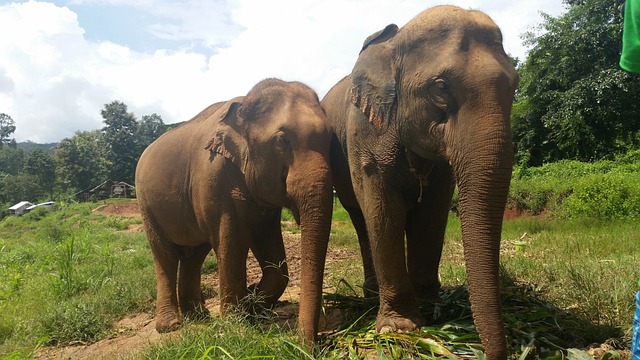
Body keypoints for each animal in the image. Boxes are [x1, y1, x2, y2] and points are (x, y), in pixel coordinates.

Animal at [136, 78, 336, 344]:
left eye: (332, 138)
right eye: (281, 141)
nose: (310, 345)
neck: (243, 105)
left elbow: (269, 245)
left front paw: (252, 303)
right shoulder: (214, 179)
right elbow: (231, 243)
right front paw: (236, 322)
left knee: (193, 255)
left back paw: (198, 316)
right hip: (146, 204)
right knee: (165, 254)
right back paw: (171, 325)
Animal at [322, 5, 516, 360]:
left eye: (515, 85)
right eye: (441, 87)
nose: (493, 353)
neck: (397, 42)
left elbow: (432, 214)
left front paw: (431, 305)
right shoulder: (366, 133)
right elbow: (384, 212)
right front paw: (399, 328)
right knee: (361, 218)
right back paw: (372, 295)